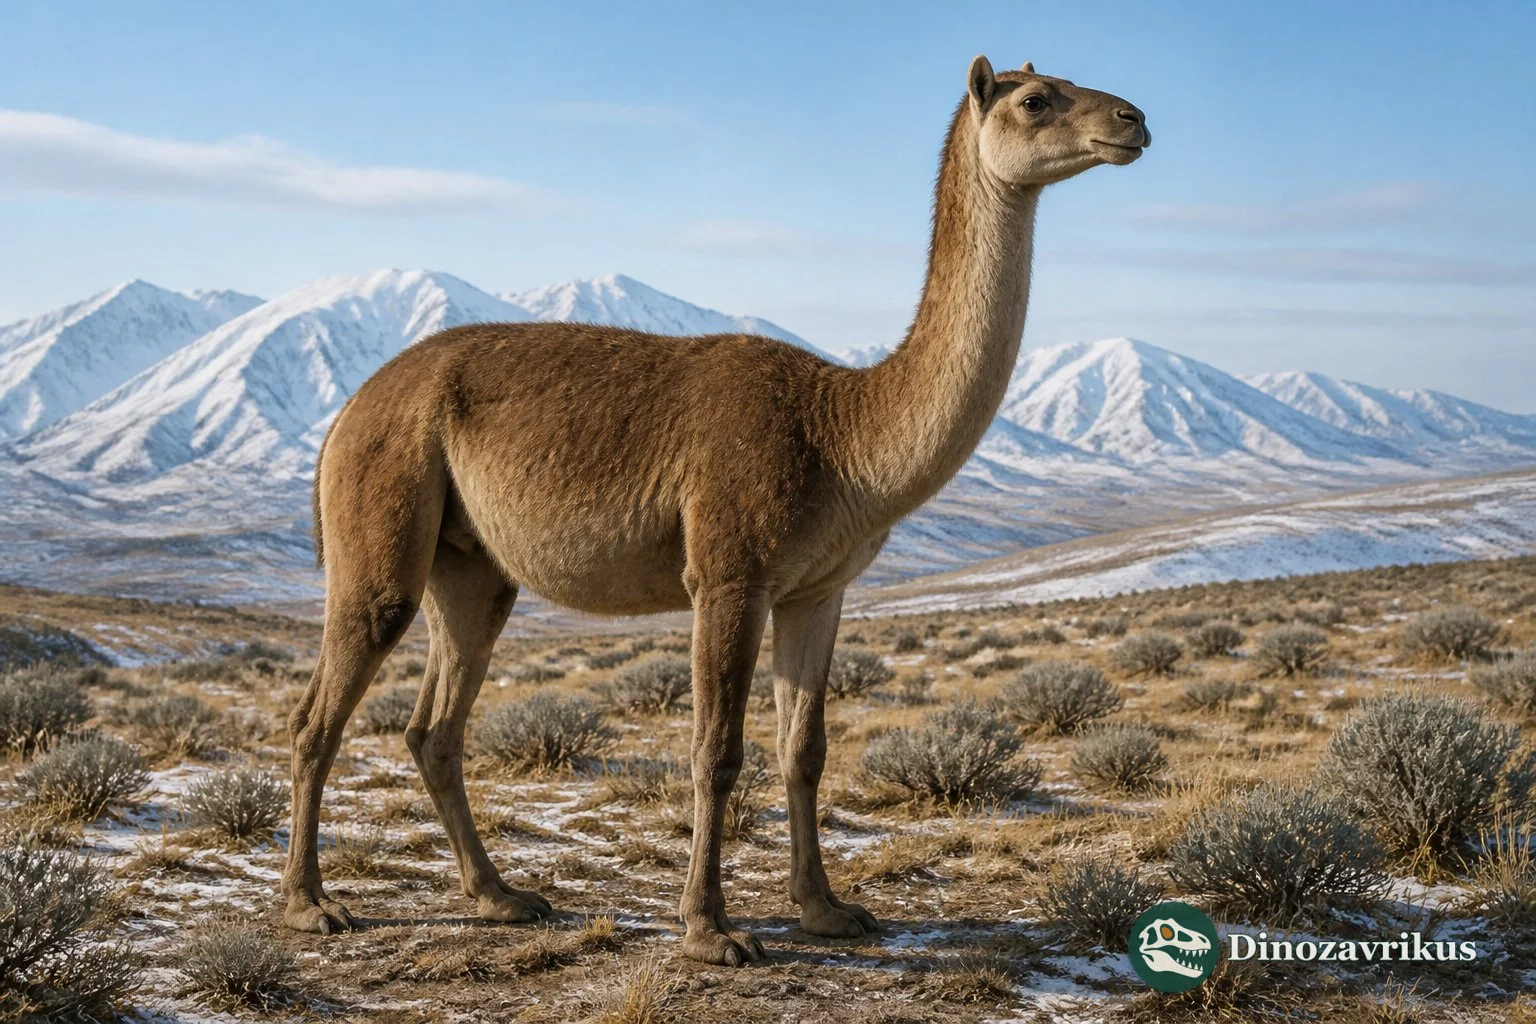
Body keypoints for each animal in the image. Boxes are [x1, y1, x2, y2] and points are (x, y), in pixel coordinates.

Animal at [283, 55, 1148, 965]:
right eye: (1037, 100)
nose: (1132, 120)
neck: (843, 431)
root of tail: (348, 410)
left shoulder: (815, 589)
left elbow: (805, 748)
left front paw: (827, 910)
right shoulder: (731, 571)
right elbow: (716, 752)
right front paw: (712, 930)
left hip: (473, 566)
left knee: (435, 727)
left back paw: (501, 896)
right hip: (384, 506)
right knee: (322, 711)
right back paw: (311, 906)